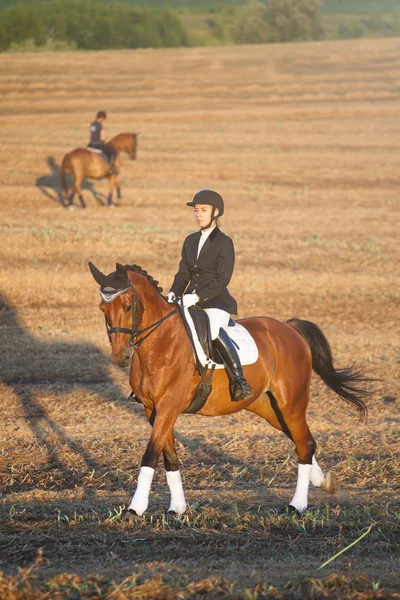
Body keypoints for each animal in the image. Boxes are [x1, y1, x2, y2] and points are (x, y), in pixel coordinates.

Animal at [88, 262, 372, 516]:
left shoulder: (169, 406)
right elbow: (169, 456)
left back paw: (297, 505)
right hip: (270, 409)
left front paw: (135, 509)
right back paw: (325, 483)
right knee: (306, 443)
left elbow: (150, 455)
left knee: (303, 446)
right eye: (102, 308)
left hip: (290, 405)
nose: (120, 357)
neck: (161, 341)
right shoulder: (153, 409)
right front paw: (178, 508)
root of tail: (289, 327)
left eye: (128, 306)